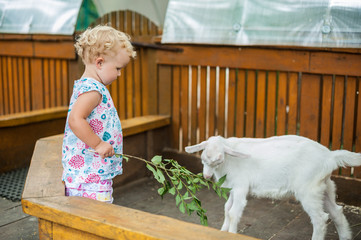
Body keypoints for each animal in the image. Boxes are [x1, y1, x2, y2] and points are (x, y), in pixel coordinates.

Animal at [184, 135, 358, 240]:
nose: (206, 176)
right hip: (325, 186)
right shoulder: (232, 188)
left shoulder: (240, 186)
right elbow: (227, 208)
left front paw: (231, 233)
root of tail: (330, 156)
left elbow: (233, 212)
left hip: (309, 190)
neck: (229, 162)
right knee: (337, 212)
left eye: (219, 160)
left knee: (320, 218)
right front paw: (221, 231)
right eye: (203, 158)